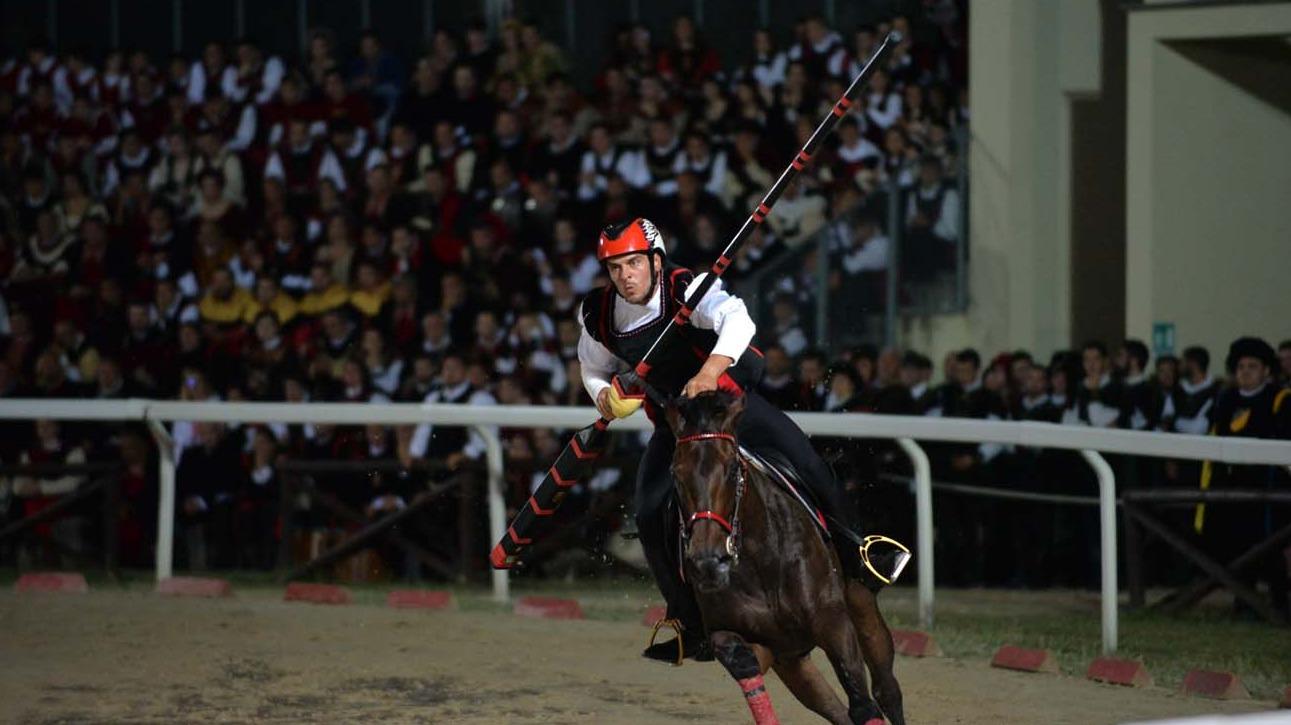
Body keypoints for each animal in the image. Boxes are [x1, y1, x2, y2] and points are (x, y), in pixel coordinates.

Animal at [666, 392, 908, 722]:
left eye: (732, 469)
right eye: (676, 474)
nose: (707, 563)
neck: (761, 563)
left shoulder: (833, 622)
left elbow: (862, 702)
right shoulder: (739, 637)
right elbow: (743, 662)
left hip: (860, 603)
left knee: (885, 689)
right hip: (793, 663)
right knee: (834, 708)